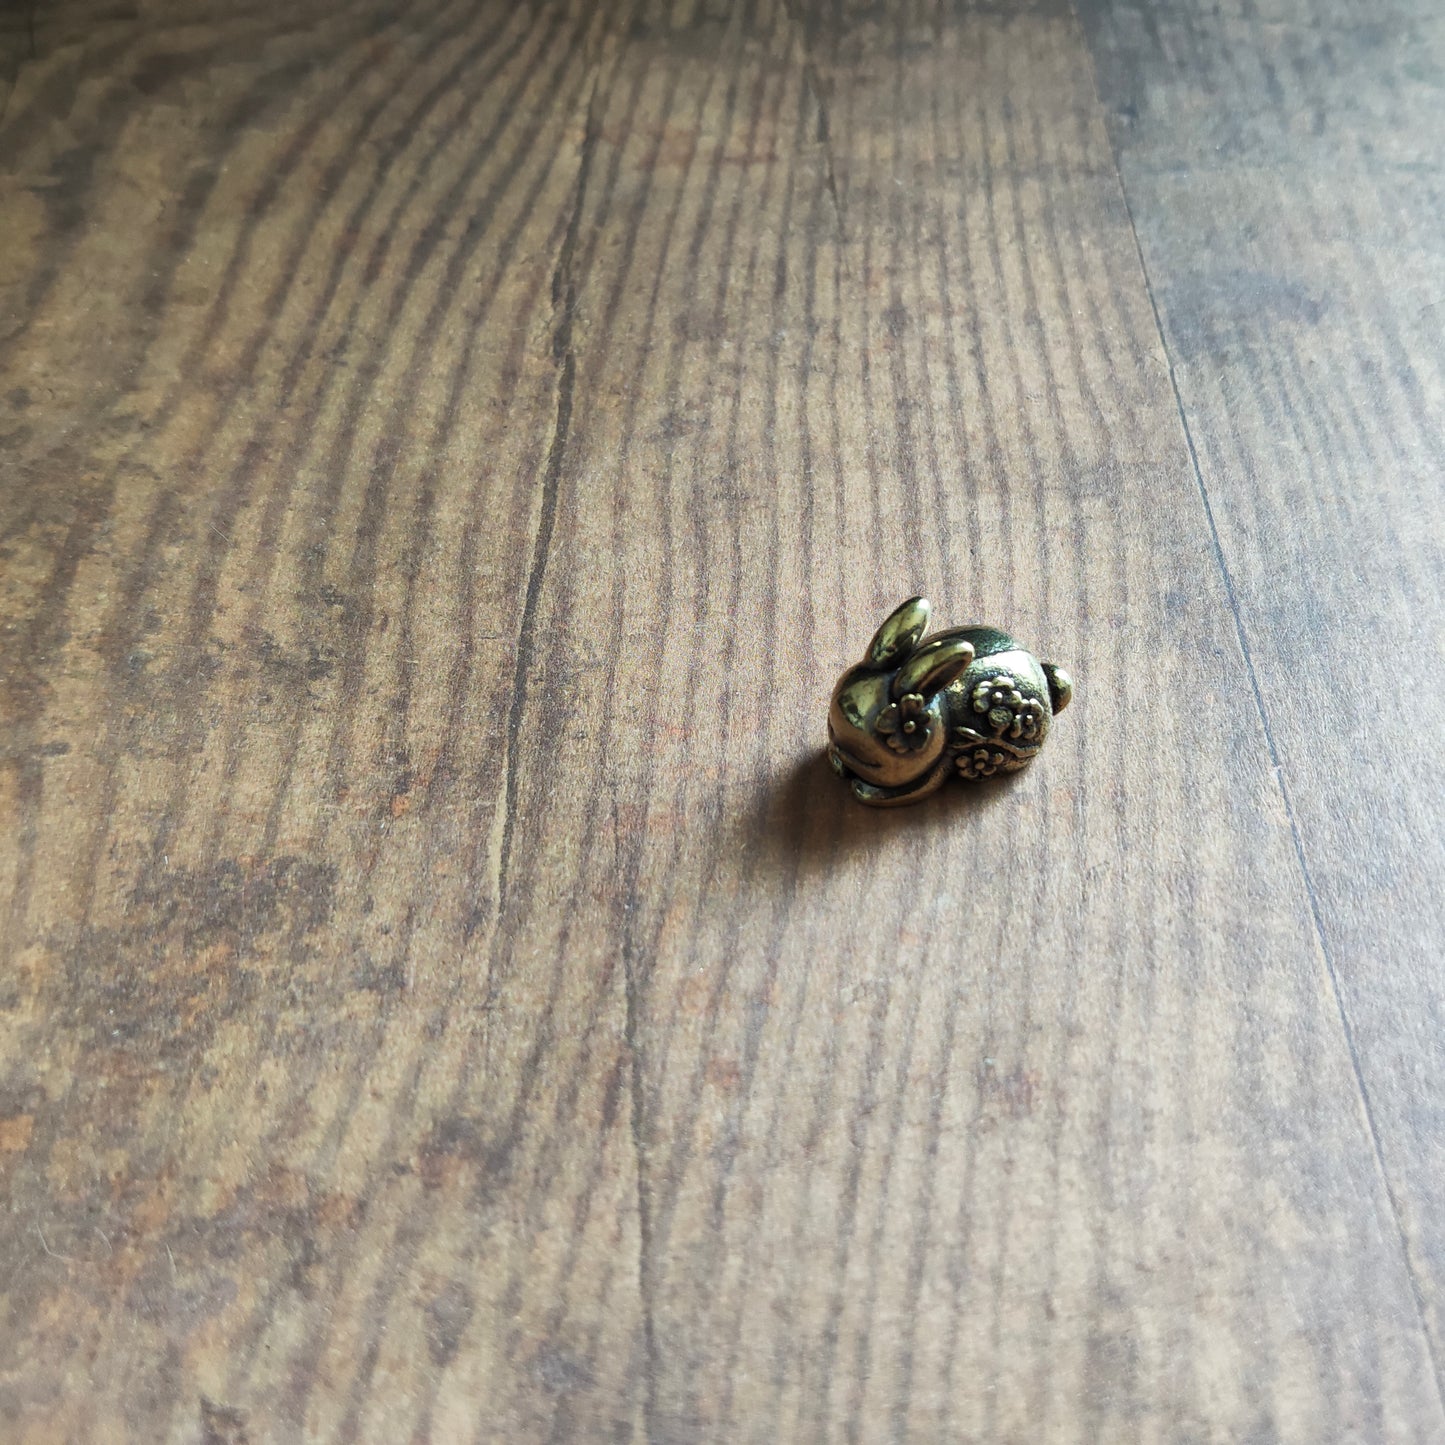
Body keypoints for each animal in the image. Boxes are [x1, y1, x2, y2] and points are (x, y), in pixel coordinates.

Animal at [827, 596, 1072, 807]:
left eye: (870, 760)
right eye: (830, 729)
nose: (839, 751)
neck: (941, 706)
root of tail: (1046, 676)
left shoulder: (942, 763)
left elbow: (910, 790)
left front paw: (861, 788)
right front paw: (838, 766)